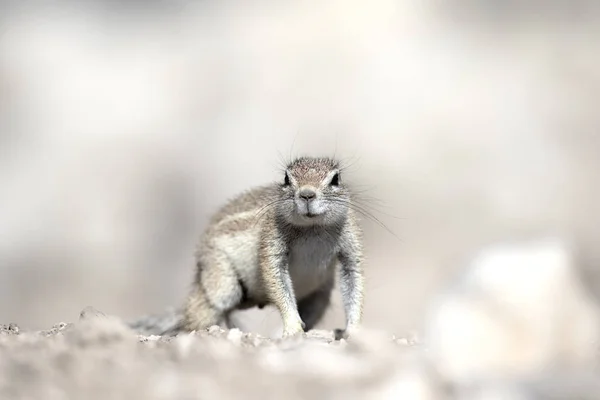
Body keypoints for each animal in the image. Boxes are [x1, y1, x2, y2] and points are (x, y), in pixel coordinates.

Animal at [131, 155, 364, 338]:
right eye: (286, 178)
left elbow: (355, 280)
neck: (312, 228)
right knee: (201, 311)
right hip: (221, 280)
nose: (307, 194)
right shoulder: (271, 239)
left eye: (335, 179)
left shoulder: (350, 242)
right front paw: (292, 328)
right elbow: (276, 280)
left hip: (319, 297)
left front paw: (353, 331)